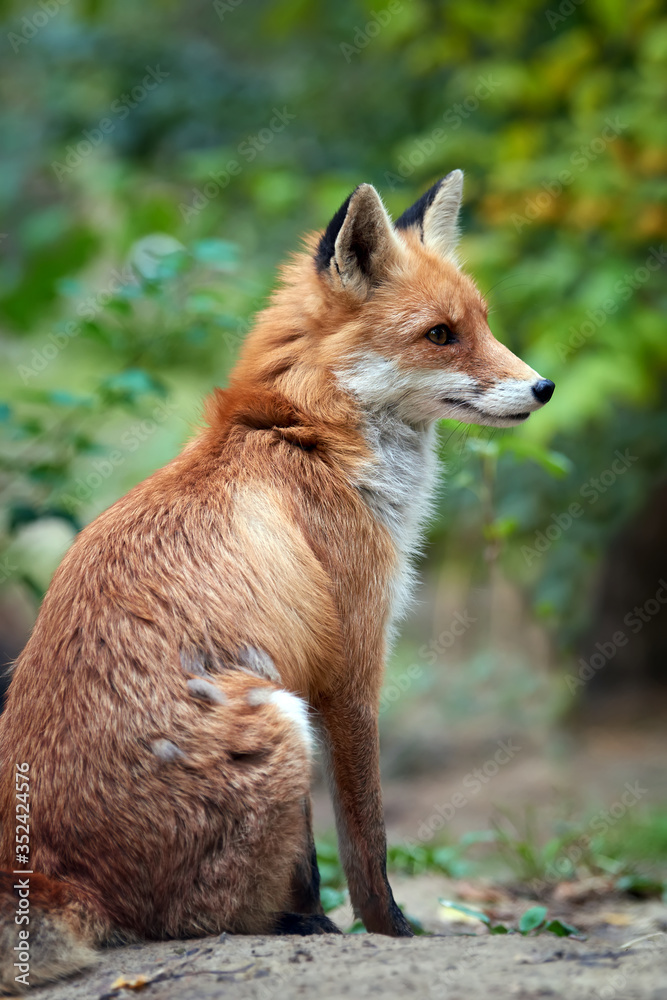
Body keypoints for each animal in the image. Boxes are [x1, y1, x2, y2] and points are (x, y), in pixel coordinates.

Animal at [0, 172, 552, 992]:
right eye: (440, 335)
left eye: (481, 324)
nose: (543, 387)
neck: (309, 438)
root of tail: (58, 874)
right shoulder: (347, 669)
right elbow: (364, 846)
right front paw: (387, 933)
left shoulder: (313, 669)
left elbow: (316, 855)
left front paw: (322, 921)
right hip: (279, 719)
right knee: (201, 918)